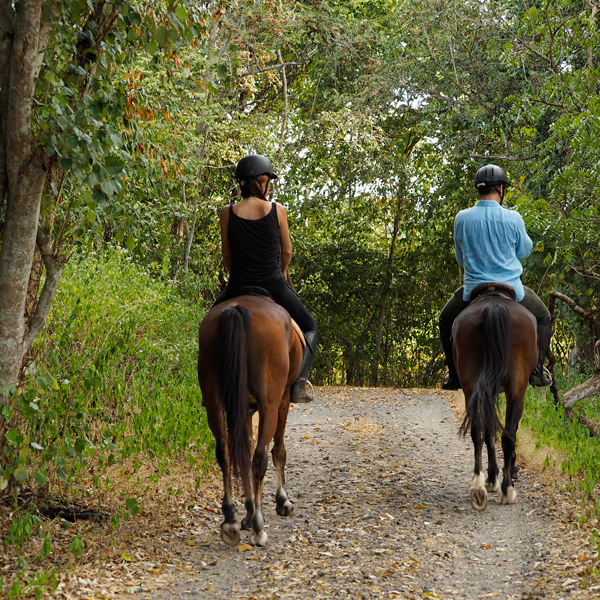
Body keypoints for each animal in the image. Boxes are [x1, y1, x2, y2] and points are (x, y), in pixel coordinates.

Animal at [197, 292, 302, 548]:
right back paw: (258, 526)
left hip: (214, 402)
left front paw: (246, 512)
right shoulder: (283, 400)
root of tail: (237, 308)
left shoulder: (243, 409)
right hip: (269, 404)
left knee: (225, 452)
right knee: (260, 457)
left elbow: (242, 453)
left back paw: (230, 521)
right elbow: (278, 452)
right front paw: (281, 502)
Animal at [454, 284, 540, 508]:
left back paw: (478, 486)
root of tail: (493, 306)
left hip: (472, 385)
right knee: (508, 434)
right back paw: (507, 489)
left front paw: (492, 477)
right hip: (517, 389)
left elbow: (489, 431)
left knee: (478, 431)